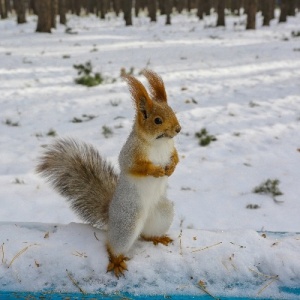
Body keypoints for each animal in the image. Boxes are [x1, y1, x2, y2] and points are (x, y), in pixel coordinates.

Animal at [35, 69, 180, 278]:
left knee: (146, 234)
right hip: (127, 222)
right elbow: (134, 166)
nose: (178, 129)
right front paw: (156, 170)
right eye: (157, 120)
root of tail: (111, 216)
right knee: (113, 246)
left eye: (173, 111)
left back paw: (158, 238)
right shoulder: (130, 153)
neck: (159, 142)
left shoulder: (170, 148)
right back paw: (117, 261)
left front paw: (172, 166)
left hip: (162, 213)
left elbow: (175, 157)